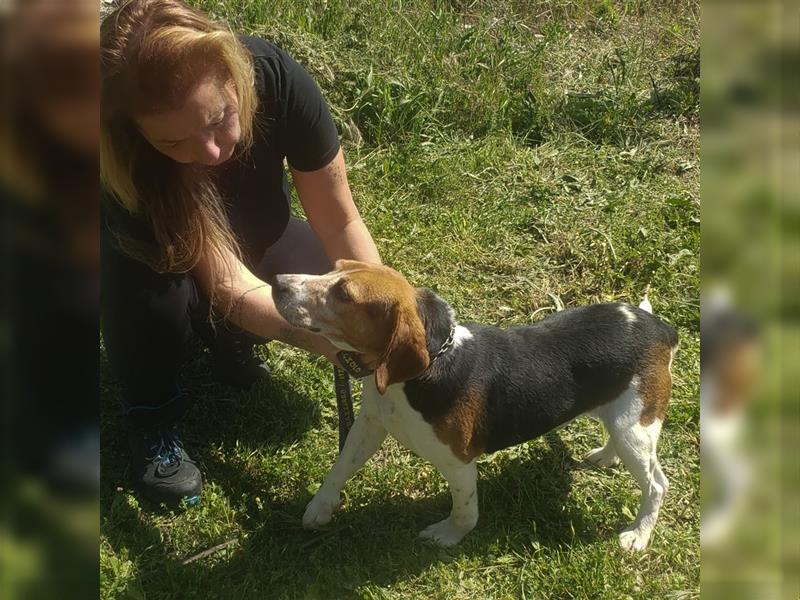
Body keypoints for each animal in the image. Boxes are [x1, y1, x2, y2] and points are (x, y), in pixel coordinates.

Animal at [272, 260, 680, 552]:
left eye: (343, 293)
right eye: (334, 267)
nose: (278, 281)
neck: (424, 370)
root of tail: (658, 326)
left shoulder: (458, 463)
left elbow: (464, 511)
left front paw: (448, 536)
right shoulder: (369, 425)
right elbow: (340, 468)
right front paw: (320, 507)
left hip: (634, 429)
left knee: (657, 485)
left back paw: (639, 534)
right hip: (623, 421)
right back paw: (604, 457)